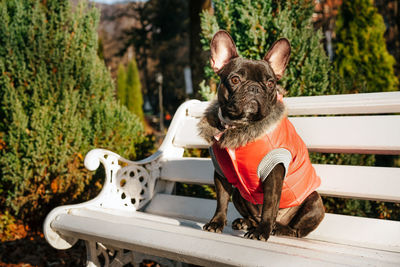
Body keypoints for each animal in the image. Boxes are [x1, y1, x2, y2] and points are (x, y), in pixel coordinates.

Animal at [197, 30, 324, 243]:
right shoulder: (222, 173)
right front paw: (216, 222)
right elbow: (221, 200)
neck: (241, 127)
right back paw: (245, 222)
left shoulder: (274, 170)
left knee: (296, 229)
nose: (255, 88)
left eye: (270, 83)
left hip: (314, 202)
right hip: (240, 194)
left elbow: (270, 205)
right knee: (252, 215)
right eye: (235, 80)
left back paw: (277, 228)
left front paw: (262, 232)